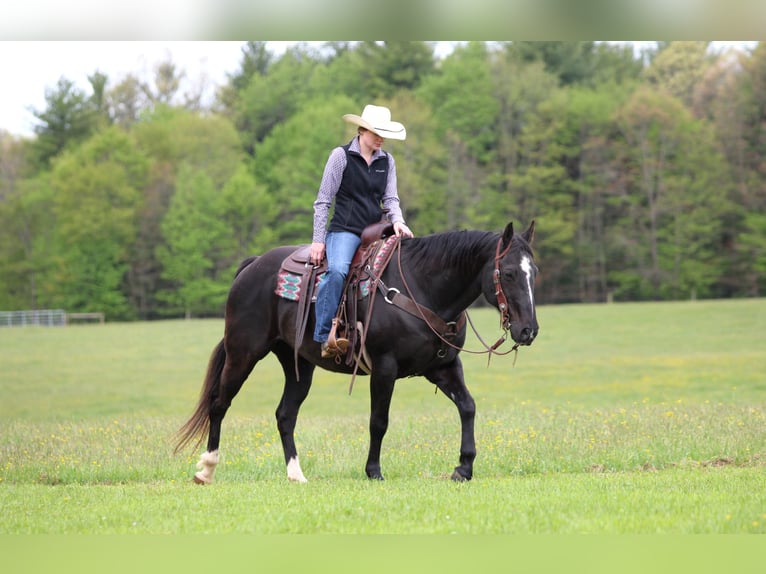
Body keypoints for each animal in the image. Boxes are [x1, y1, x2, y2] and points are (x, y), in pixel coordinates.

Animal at [174, 221, 539, 483]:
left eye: (533, 272)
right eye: (508, 273)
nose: (529, 330)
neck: (421, 287)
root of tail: (252, 266)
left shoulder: (444, 366)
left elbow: (468, 407)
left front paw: (463, 468)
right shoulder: (384, 368)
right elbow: (379, 421)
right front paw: (373, 471)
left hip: (297, 365)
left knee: (285, 414)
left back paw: (296, 474)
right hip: (243, 352)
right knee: (219, 403)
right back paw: (206, 469)